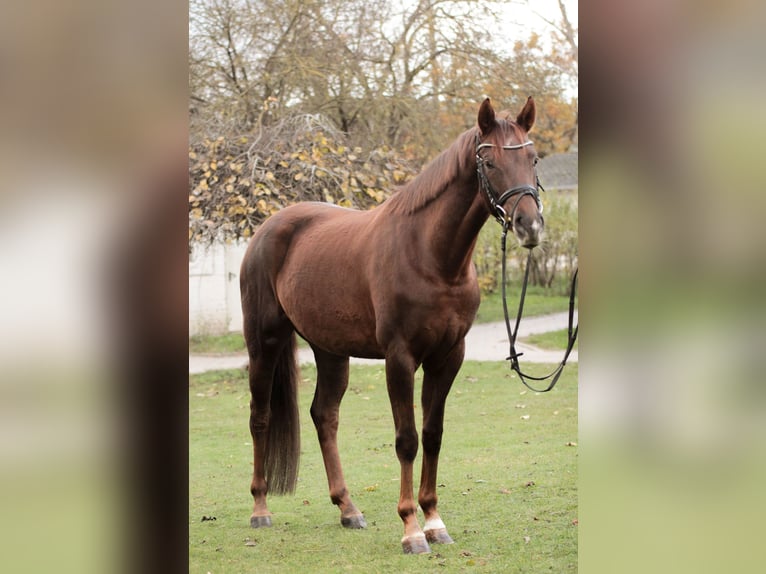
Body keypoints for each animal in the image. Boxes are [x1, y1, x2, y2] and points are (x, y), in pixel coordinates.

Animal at [240, 97, 544, 556]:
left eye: (533, 158)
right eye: (489, 162)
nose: (530, 225)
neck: (432, 257)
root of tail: (267, 230)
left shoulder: (448, 358)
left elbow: (433, 434)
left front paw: (434, 521)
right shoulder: (400, 359)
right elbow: (406, 440)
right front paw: (412, 530)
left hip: (331, 351)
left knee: (324, 416)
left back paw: (348, 509)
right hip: (265, 341)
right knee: (260, 416)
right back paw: (260, 509)